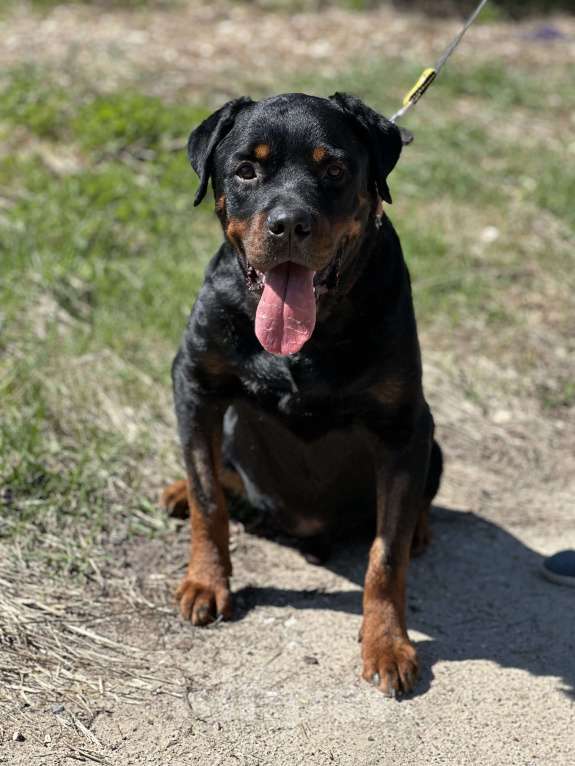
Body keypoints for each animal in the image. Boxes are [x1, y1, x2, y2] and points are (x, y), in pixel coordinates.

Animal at [162, 93, 446, 700]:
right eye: (247, 169)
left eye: (334, 169)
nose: (289, 223)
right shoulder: (195, 383)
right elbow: (207, 498)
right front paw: (206, 583)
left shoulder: (404, 424)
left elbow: (385, 554)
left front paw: (388, 644)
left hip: (431, 442)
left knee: (415, 501)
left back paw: (419, 528)